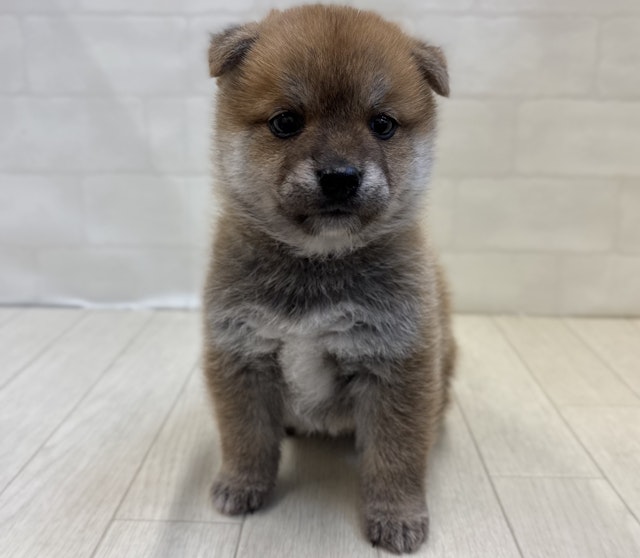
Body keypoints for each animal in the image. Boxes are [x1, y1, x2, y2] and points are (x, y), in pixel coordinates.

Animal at [202, 5, 455, 554]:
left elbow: (397, 455)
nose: (340, 176)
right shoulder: (241, 353)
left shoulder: (397, 363)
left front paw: (398, 515)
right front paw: (241, 484)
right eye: (285, 122)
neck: (318, 263)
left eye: (382, 124)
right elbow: (245, 436)